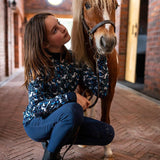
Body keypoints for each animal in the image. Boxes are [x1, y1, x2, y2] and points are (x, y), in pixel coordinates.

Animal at [71, 0, 119, 158]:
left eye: (116, 6)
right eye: (87, 5)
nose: (108, 42)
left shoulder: (109, 91)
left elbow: (105, 118)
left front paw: (107, 150)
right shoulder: (79, 90)